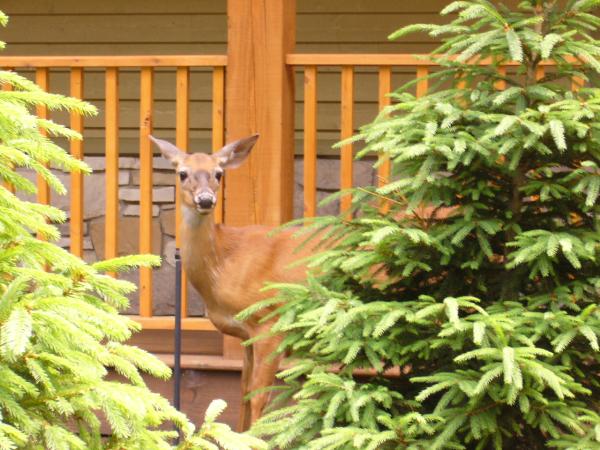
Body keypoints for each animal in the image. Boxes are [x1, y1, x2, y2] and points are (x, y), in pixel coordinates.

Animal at [149, 134, 312, 428]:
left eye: (219, 173)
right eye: (182, 173)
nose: (205, 200)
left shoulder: (271, 323)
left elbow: (260, 398)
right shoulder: (246, 334)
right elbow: (244, 392)